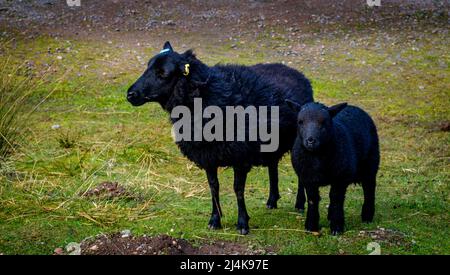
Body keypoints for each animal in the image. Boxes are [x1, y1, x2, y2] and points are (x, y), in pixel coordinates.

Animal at [125, 41, 312, 235]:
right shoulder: (208, 155)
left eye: (163, 73)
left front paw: (242, 223)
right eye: (147, 67)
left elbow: (238, 189)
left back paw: (299, 204)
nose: (130, 94)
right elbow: (213, 187)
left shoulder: (240, 156)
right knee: (273, 166)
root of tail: (294, 71)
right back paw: (272, 200)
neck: (207, 97)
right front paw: (215, 220)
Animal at [286, 100, 378, 236]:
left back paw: (367, 216)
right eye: (300, 121)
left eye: (324, 122)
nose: (310, 141)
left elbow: (337, 200)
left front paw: (336, 227)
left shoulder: (340, 178)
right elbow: (313, 199)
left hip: (371, 164)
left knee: (369, 189)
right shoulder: (308, 178)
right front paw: (311, 226)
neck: (317, 158)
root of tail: (355, 107)